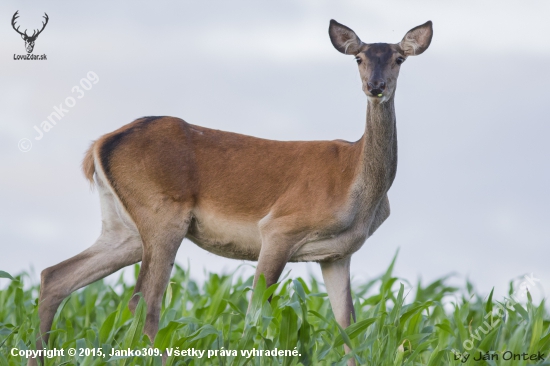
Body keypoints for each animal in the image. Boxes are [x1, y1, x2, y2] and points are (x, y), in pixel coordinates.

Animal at [28, 20, 434, 366]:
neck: (357, 186)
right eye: (358, 57)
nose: (375, 86)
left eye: (398, 58)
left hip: (123, 228)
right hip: (162, 214)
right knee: (145, 301)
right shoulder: (279, 228)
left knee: (56, 276)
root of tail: (98, 144)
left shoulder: (337, 254)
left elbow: (348, 329)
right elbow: (255, 315)